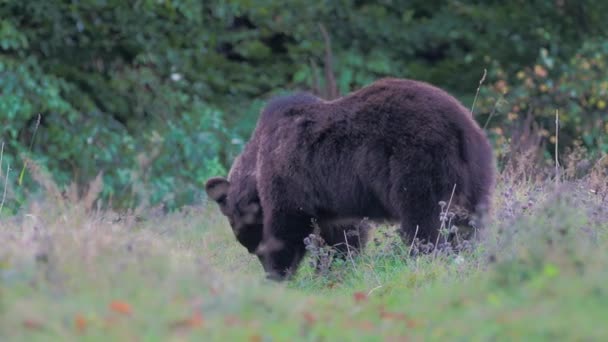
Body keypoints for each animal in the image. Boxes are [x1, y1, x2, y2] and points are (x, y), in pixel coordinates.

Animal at [205, 78, 494, 280]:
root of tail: (461, 126)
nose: (256, 252)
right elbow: (342, 235)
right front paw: (332, 269)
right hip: (473, 176)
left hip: (416, 164)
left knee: (424, 220)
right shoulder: (333, 201)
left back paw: (425, 256)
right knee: (467, 224)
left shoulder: (289, 178)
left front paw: (279, 273)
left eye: (246, 237)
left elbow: (288, 226)